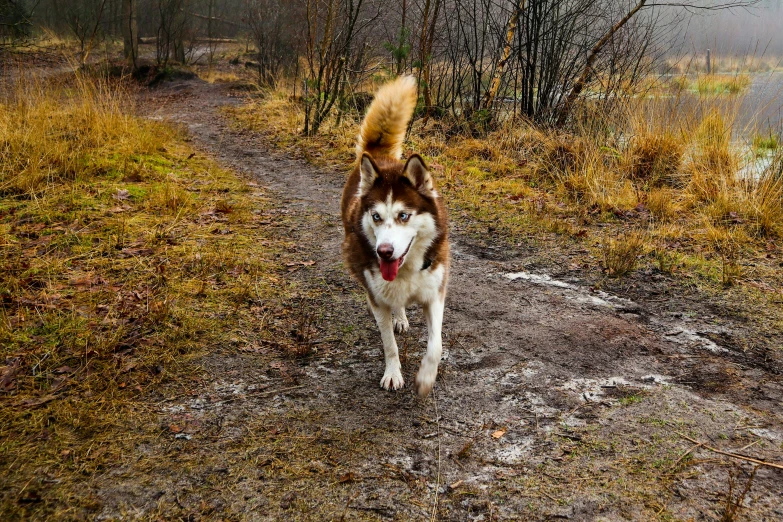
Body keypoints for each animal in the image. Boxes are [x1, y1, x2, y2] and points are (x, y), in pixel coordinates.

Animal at [340, 75, 450, 396]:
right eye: (377, 216)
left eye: (404, 215)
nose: (384, 252)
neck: (407, 269)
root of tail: (380, 157)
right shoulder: (377, 299)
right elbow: (389, 344)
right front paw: (393, 373)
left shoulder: (435, 293)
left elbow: (436, 345)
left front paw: (426, 378)